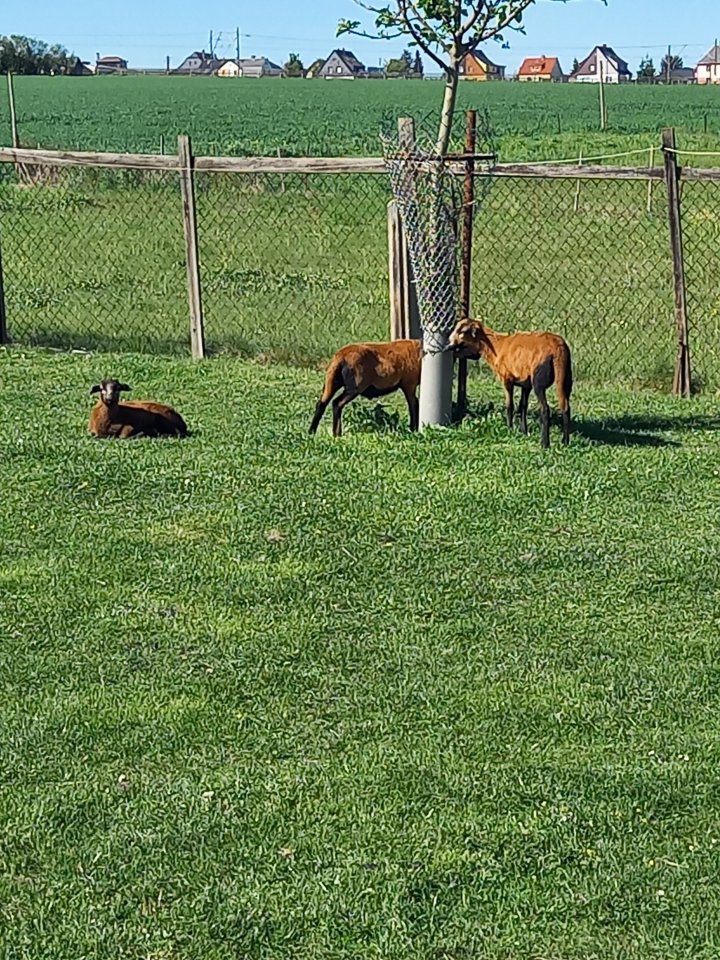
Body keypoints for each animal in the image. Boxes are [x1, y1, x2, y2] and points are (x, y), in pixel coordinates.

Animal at [448, 318, 572, 448]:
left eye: (462, 331)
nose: (449, 344)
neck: (496, 346)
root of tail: (558, 348)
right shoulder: (526, 384)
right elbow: (523, 406)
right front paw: (523, 431)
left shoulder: (507, 380)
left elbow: (509, 405)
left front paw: (509, 428)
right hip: (565, 378)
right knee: (565, 407)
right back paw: (565, 442)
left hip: (539, 381)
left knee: (545, 409)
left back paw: (545, 444)